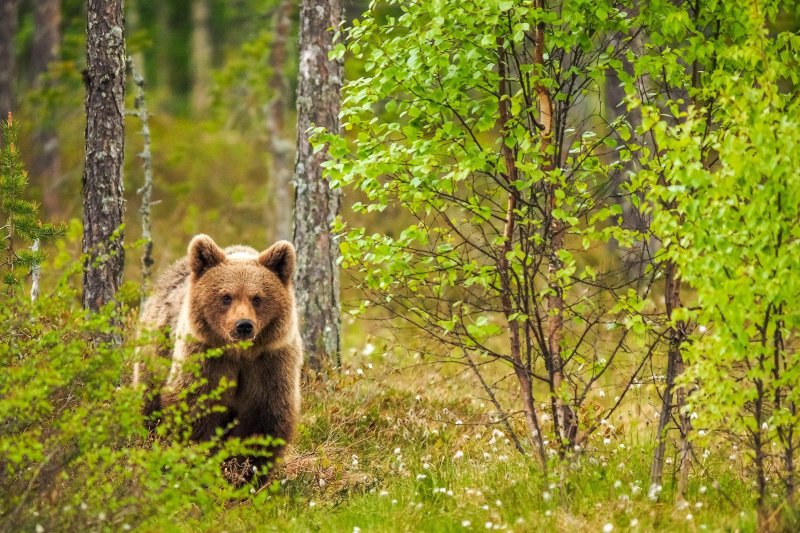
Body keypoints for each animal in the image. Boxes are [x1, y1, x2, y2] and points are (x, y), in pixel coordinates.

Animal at [134, 235, 304, 476]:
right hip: (158, 350)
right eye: (226, 297)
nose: (244, 325)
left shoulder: (270, 363)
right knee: (149, 400)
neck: (240, 354)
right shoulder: (205, 359)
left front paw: (245, 472)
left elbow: (264, 419)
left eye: (257, 298)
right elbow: (196, 407)